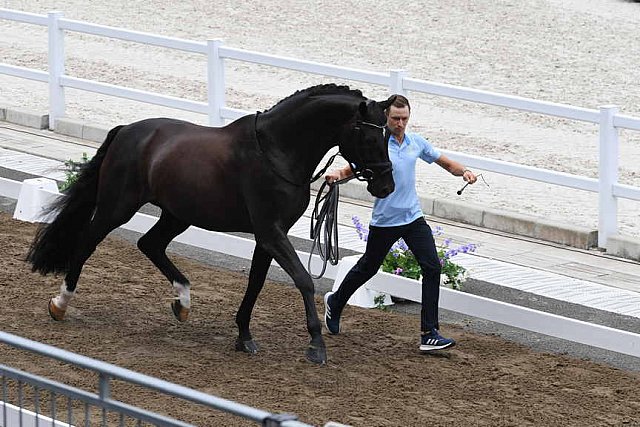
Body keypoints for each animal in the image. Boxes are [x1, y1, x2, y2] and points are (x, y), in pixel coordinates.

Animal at [28, 83, 396, 364]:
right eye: (369, 137)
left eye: (389, 135)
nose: (386, 186)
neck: (277, 152)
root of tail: (126, 131)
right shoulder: (271, 231)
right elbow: (303, 280)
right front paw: (316, 345)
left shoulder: (267, 236)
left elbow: (256, 283)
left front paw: (244, 336)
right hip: (116, 208)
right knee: (87, 242)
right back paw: (60, 304)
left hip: (176, 215)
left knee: (150, 244)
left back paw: (182, 302)